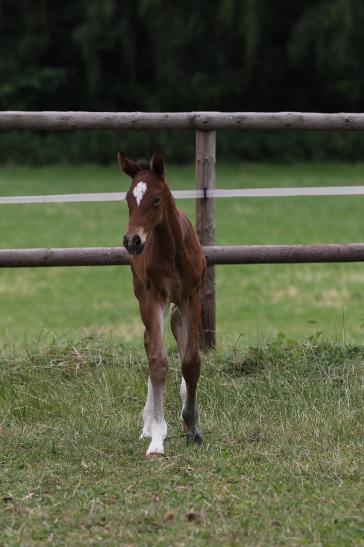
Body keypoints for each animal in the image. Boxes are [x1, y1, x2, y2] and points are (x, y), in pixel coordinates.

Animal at [118, 150, 206, 458]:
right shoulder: (154, 297)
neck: (171, 251)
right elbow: (157, 361)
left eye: (156, 198)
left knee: (177, 327)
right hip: (143, 295)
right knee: (149, 343)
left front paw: (192, 426)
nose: (132, 241)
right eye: (128, 199)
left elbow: (191, 360)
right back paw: (149, 423)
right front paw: (157, 434)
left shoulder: (192, 296)